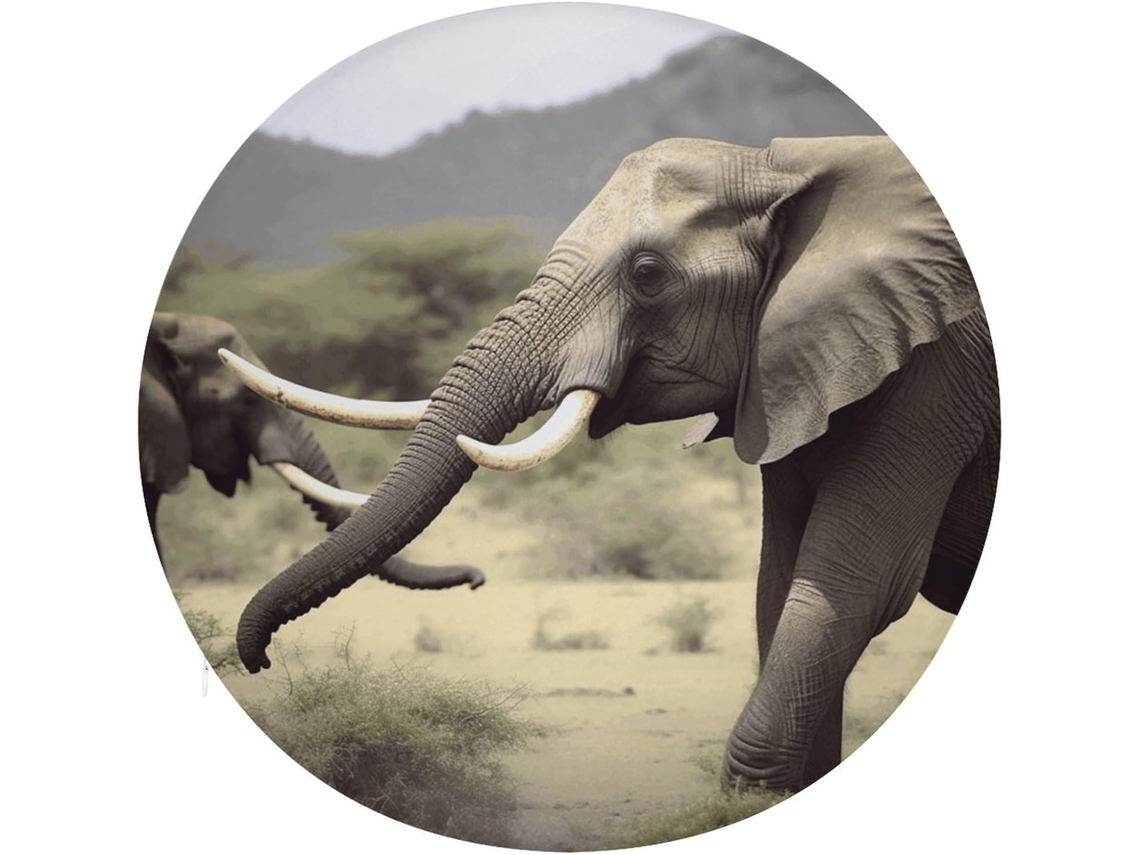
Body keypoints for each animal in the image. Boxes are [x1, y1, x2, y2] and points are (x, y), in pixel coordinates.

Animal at [223, 135, 999, 795]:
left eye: (648, 275)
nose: (258, 662)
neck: (783, 166)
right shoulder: (792, 371)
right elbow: (781, 586)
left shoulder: (934, 380)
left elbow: (852, 589)